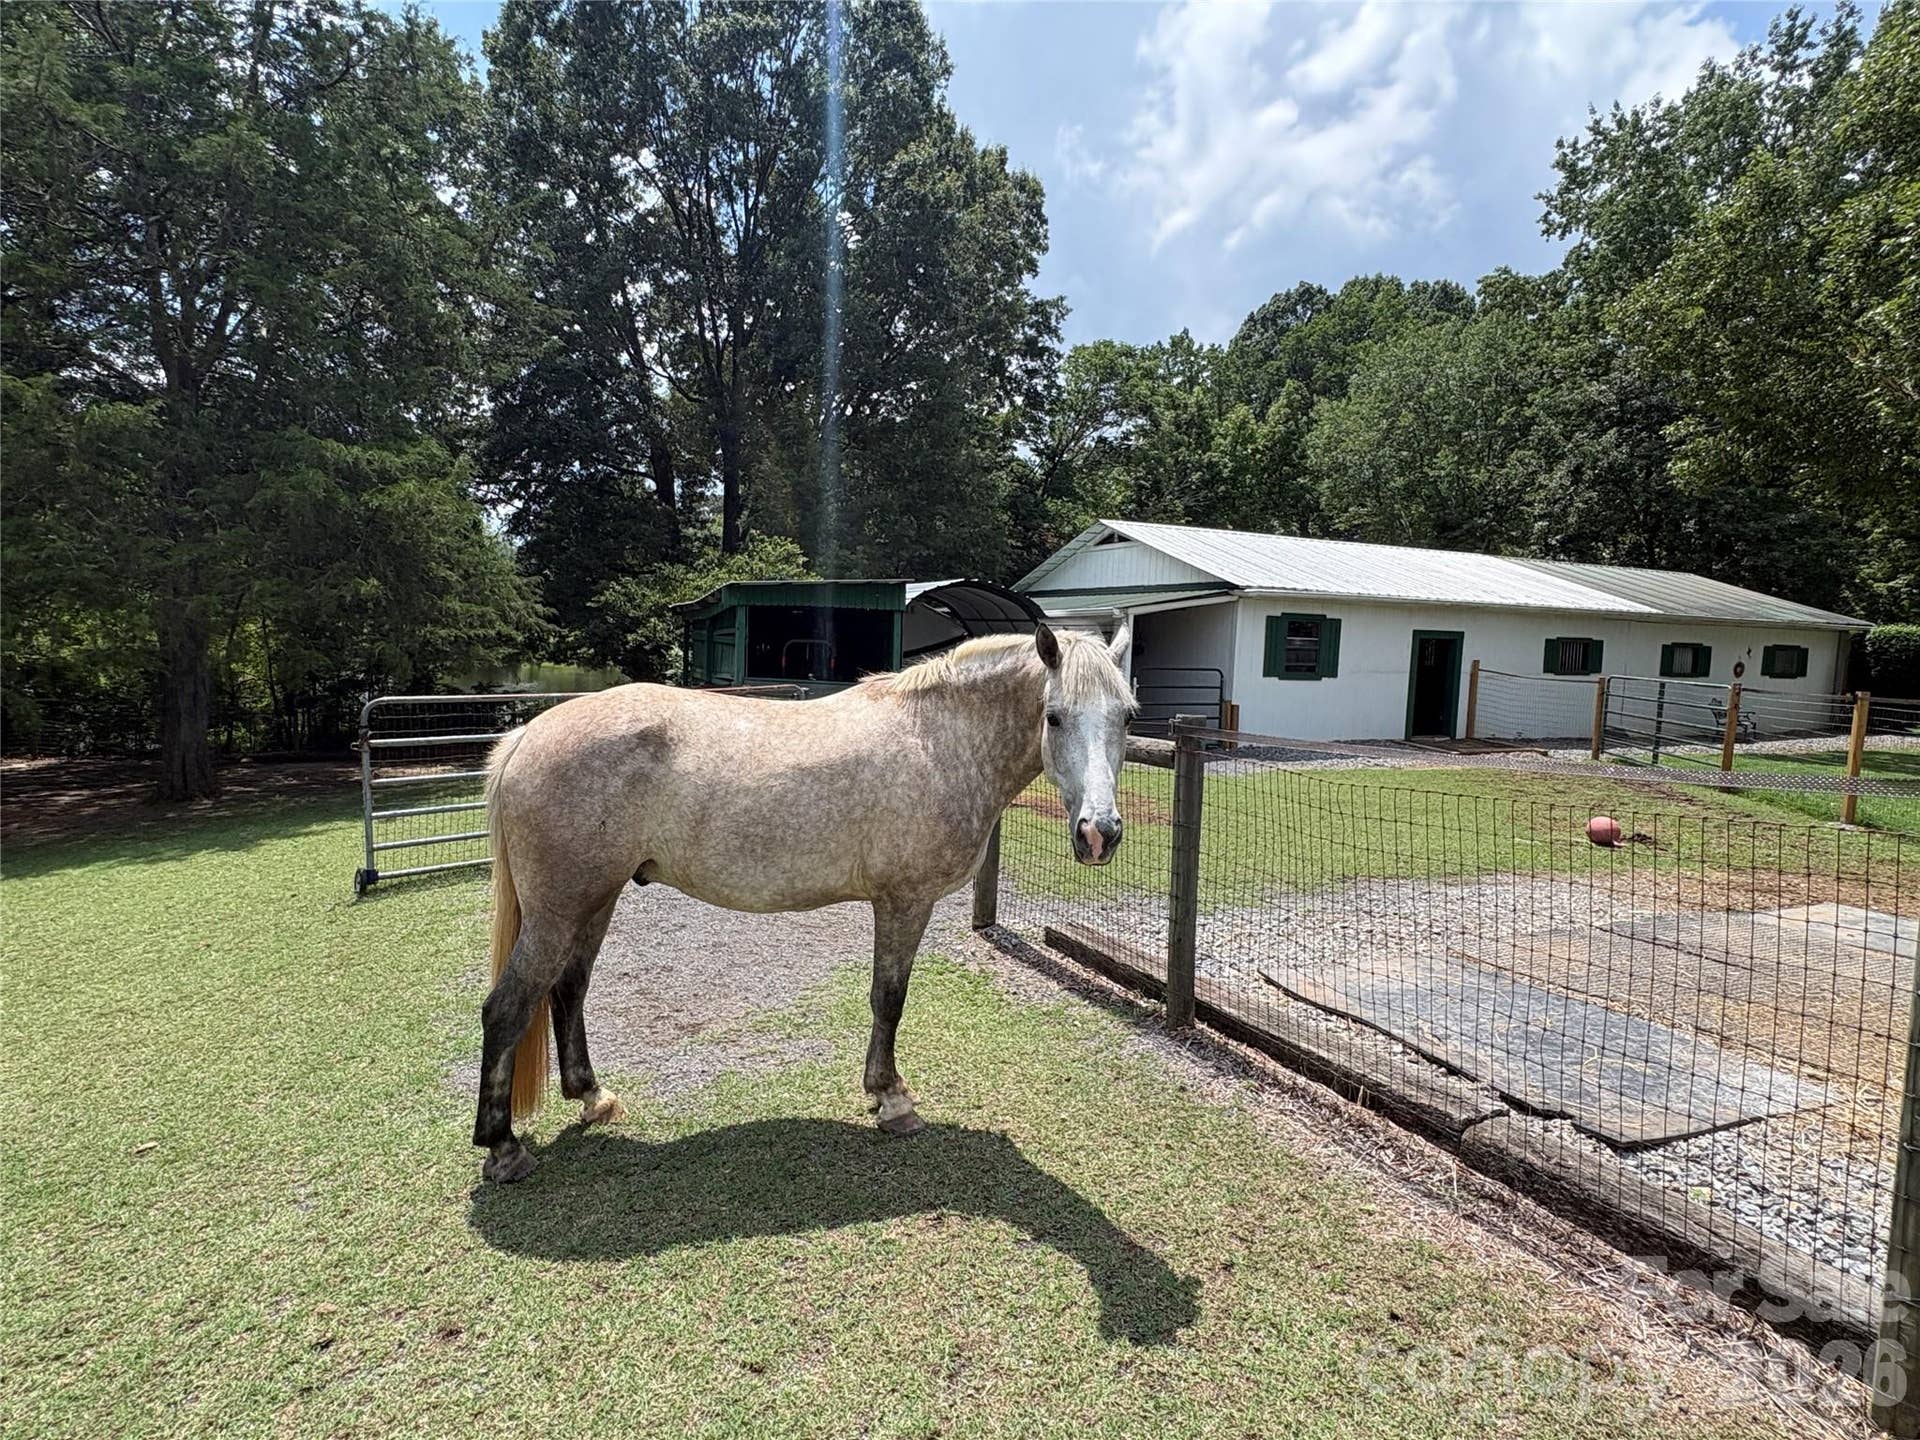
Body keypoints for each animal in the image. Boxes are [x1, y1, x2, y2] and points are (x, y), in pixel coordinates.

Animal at [473, 622, 1135, 1183]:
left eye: (1127, 716)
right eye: (1054, 717)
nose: (1099, 833)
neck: (938, 740)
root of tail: (526, 735)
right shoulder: (904, 902)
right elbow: (889, 999)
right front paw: (891, 1099)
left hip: (595, 900)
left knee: (568, 989)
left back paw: (592, 1097)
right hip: (559, 911)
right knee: (507, 1008)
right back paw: (504, 1149)